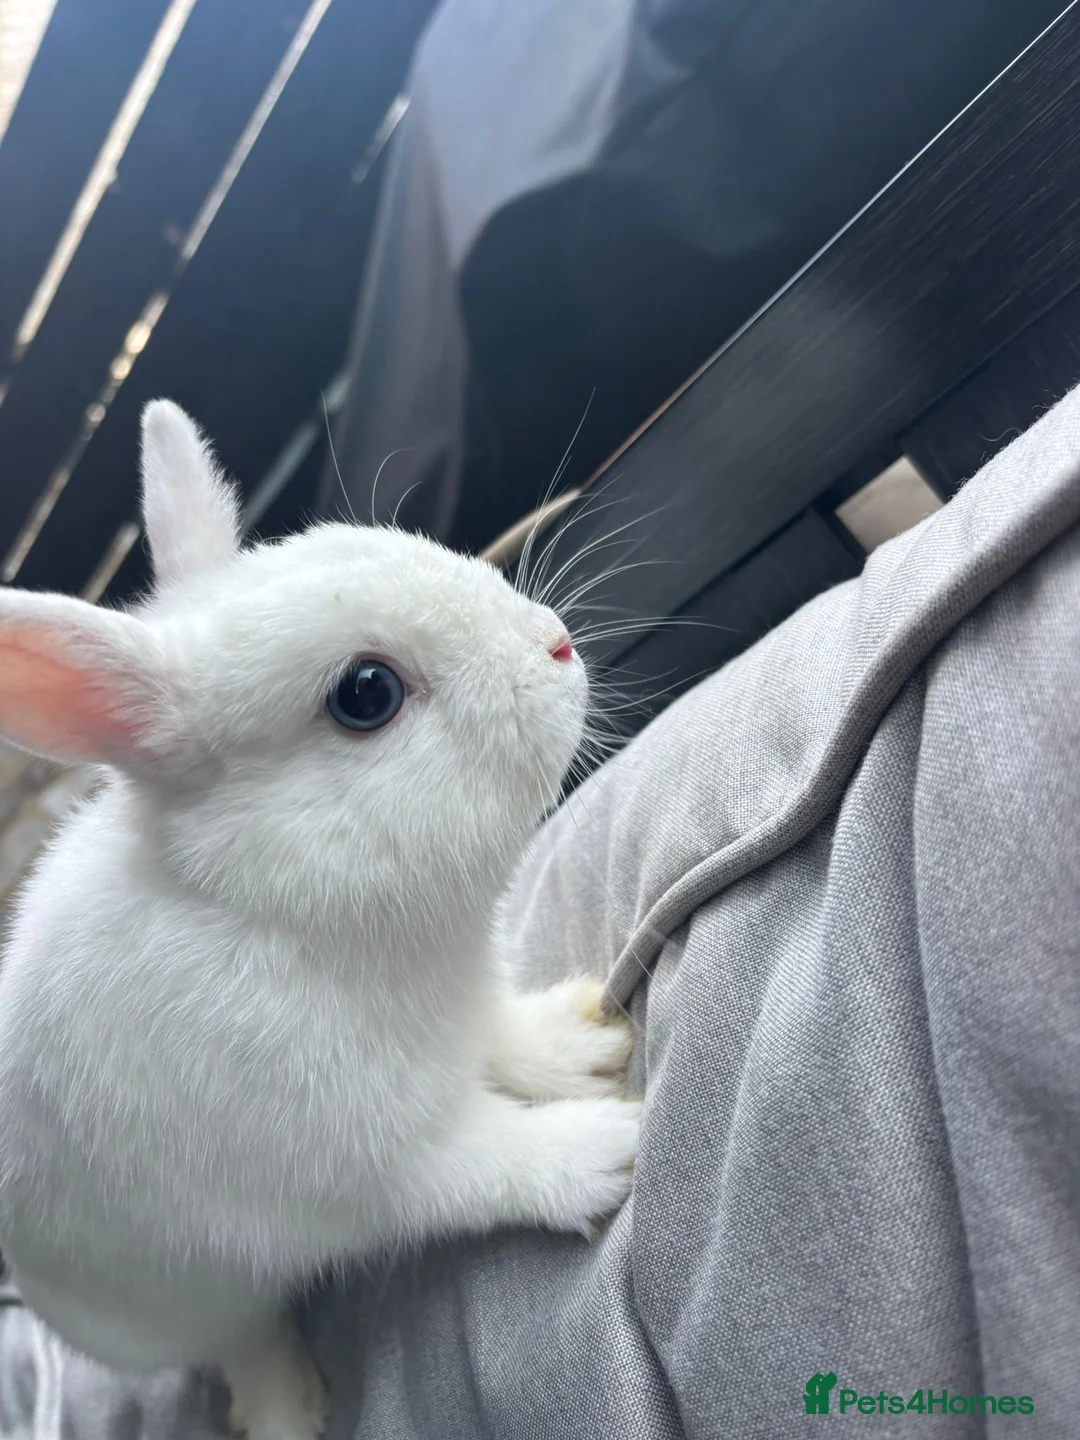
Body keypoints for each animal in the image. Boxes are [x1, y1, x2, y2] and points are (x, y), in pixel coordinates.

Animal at [0, 401, 640, 1440]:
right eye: (366, 694)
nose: (555, 642)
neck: (278, 908)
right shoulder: (372, 1168)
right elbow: (488, 1166)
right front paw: (606, 1150)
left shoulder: (467, 1019)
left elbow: (508, 1040)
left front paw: (584, 1043)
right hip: (182, 1302)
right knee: (240, 1338)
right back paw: (289, 1406)